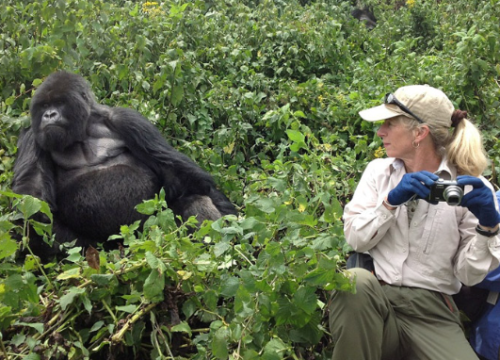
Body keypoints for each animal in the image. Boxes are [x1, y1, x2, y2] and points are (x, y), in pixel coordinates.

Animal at [11, 70, 237, 258]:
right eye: (43, 106)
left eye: (59, 103)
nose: (49, 115)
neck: (82, 131)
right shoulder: (32, 134)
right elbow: (31, 202)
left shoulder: (127, 120)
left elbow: (181, 175)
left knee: (195, 200)